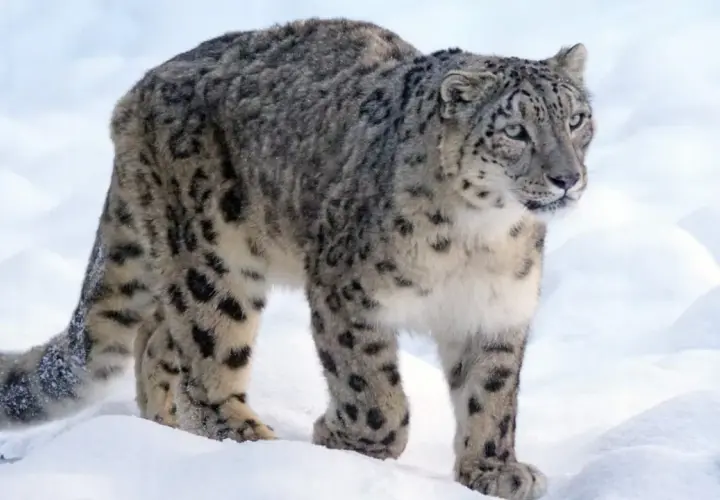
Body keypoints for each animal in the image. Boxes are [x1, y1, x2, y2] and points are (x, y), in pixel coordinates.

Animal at [0, 17, 594, 499]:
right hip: (214, 264)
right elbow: (371, 389)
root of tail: (136, 93)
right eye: (515, 130)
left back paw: (165, 433)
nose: (567, 177)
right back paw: (247, 443)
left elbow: (491, 395)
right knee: (205, 357)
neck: (481, 239)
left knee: (158, 339)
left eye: (577, 119)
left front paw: (493, 470)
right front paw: (345, 439)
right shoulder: (346, 293)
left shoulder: (496, 311)